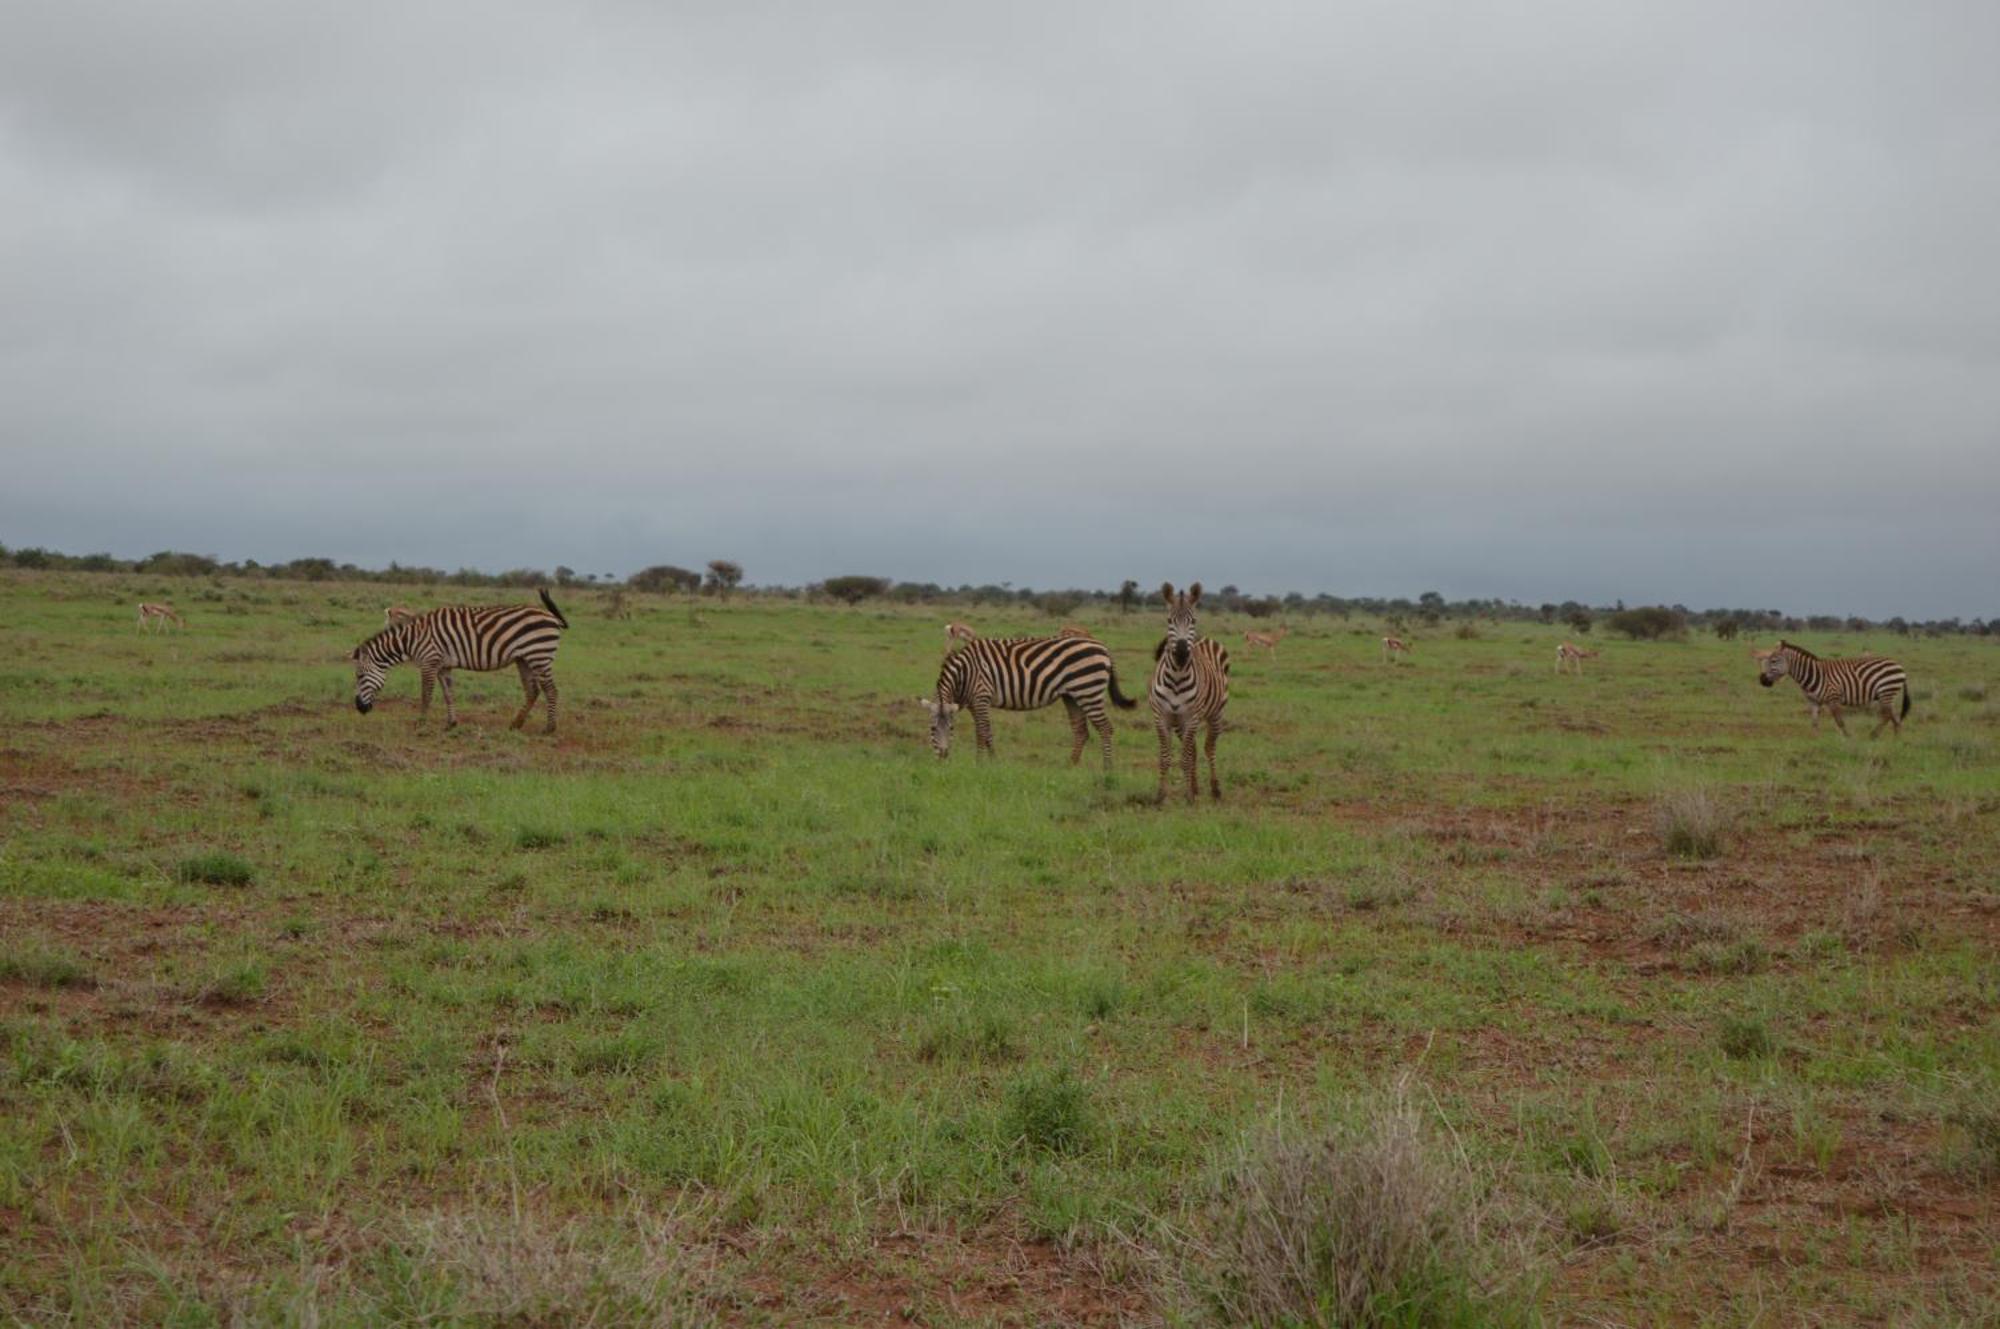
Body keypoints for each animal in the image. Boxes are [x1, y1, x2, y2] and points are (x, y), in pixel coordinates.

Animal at [350, 592, 572, 736]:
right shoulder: (443, 666)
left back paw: (549, 728)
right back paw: (515, 724)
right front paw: (451, 724)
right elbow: (448, 694)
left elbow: (426, 695)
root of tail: (551, 616)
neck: (413, 639)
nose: (359, 708)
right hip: (524, 659)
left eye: (359, 676)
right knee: (533, 690)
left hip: (539, 656)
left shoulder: (429, 662)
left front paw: (420, 724)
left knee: (551, 691)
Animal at [920, 632, 1144, 772]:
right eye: (932, 729)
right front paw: (988, 761)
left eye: (950, 729)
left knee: (1105, 728)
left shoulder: (981, 697)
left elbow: (983, 731)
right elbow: (984, 733)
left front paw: (983, 763)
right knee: (1081, 731)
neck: (965, 674)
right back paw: (1070, 765)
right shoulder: (974, 703)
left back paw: (1107, 769)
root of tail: (1103, 648)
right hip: (1072, 696)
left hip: (1088, 691)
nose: (942, 757)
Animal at [1152, 580, 1224, 800]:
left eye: (1193, 620)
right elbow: (1165, 757)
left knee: (1209, 748)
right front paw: (1161, 795)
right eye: (1169, 620)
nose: (1183, 651)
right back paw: (1195, 786)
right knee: (1194, 749)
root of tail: (1204, 640)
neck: (1176, 677)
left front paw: (1188, 797)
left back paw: (1215, 789)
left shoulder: (1191, 718)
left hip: (1215, 715)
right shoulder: (1161, 718)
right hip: (1180, 724)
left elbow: (1185, 758)